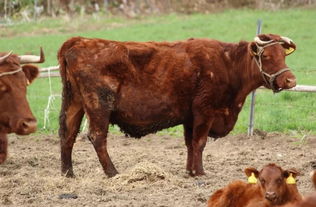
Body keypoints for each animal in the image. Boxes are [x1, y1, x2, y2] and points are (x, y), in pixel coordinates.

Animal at [57, 33, 296, 177]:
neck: (228, 65)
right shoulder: (205, 111)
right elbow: (199, 142)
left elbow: (190, 144)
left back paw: (68, 173)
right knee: (97, 137)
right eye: (266, 56)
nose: (291, 80)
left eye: (283, 55)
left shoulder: (190, 117)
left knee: (68, 134)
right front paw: (200, 173)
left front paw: (190, 171)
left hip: (75, 103)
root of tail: (80, 40)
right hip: (99, 106)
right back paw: (113, 172)